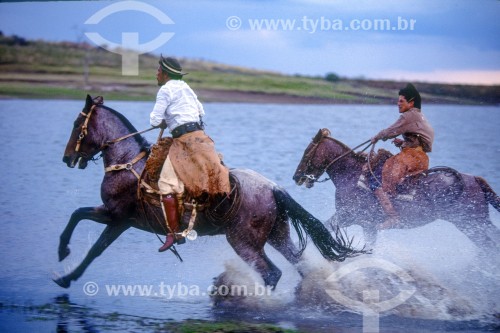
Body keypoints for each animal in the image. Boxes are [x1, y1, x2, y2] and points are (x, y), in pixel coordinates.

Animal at [53, 95, 364, 288]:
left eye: (76, 124)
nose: (67, 158)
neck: (128, 161)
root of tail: (273, 188)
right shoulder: (119, 220)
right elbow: (89, 236)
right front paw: (66, 274)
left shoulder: (117, 216)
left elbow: (83, 226)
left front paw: (63, 253)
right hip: (278, 235)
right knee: (300, 265)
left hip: (244, 243)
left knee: (271, 273)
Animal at [292, 127, 500, 252]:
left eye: (307, 151)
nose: (296, 177)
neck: (351, 175)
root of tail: (473, 179)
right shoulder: (359, 222)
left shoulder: (350, 217)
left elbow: (322, 227)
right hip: (476, 222)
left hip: (471, 223)